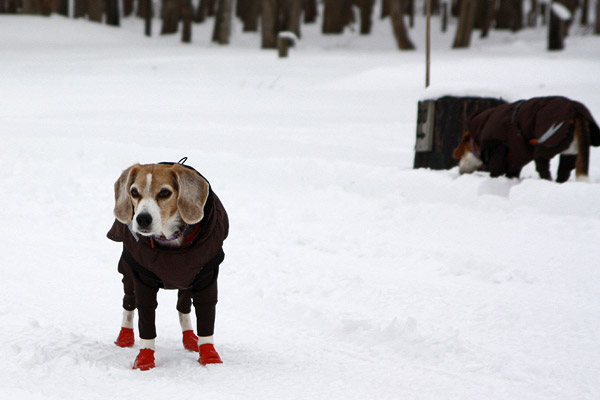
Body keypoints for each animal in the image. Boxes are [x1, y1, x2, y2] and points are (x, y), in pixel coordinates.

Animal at [106, 159, 229, 368]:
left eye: (164, 193)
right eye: (134, 192)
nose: (142, 218)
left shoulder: (206, 279)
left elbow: (206, 320)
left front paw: (209, 356)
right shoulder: (142, 280)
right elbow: (146, 321)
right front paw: (144, 358)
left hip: (187, 285)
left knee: (183, 308)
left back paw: (189, 338)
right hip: (128, 274)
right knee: (129, 304)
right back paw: (124, 336)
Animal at [454, 96, 600, 182]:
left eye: (462, 153)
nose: (460, 171)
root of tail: (575, 109)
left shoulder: (499, 150)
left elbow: (496, 171)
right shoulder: (516, 156)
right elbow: (512, 171)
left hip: (547, 144)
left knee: (544, 167)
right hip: (570, 150)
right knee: (564, 170)